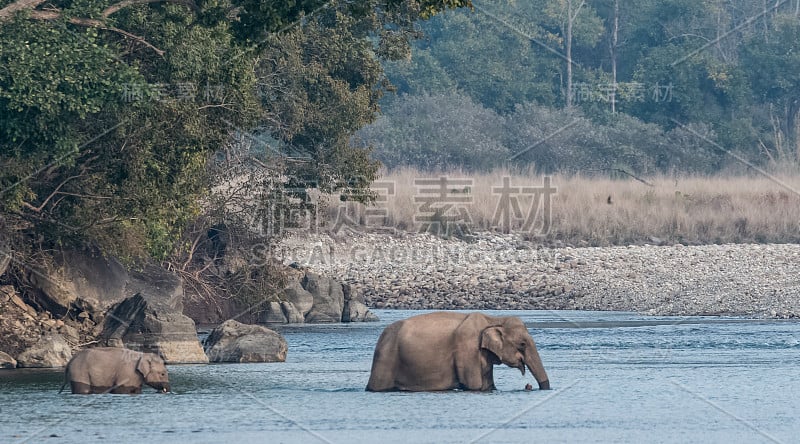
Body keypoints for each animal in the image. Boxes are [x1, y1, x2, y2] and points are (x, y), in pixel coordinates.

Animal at [368, 312, 552, 392]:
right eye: (522, 344)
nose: (529, 386)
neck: (493, 319)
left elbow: (487, 386)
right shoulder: (467, 349)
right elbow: (474, 386)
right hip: (386, 358)